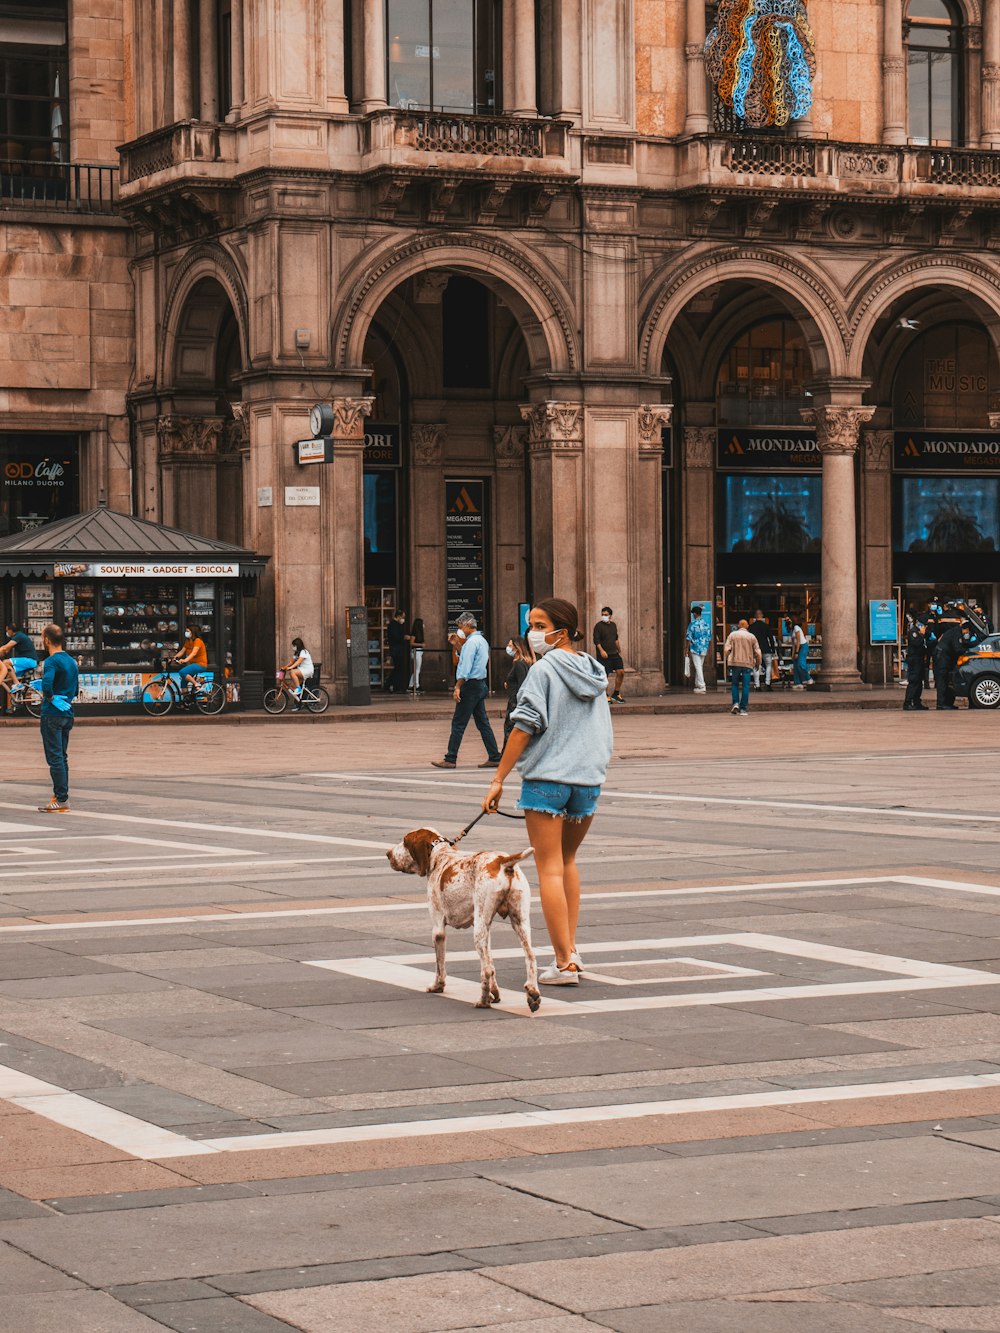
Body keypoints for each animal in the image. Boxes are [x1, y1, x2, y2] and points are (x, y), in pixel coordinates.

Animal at [386, 821, 541, 1007]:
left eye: (404, 841)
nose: (388, 853)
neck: (440, 857)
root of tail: (503, 862)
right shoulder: (486, 929)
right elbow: (491, 962)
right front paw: (495, 993)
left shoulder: (438, 928)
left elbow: (440, 965)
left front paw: (437, 986)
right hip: (519, 923)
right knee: (530, 957)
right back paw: (532, 993)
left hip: (479, 929)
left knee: (486, 970)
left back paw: (483, 1002)